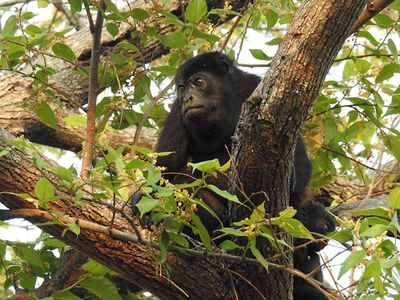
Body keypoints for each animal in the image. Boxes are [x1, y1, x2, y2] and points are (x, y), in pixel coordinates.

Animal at [133, 52, 332, 300]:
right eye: (181, 88)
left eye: (199, 82)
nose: (187, 97)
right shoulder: (177, 113)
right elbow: (166, 165)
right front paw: (143, 199)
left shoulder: (253, 89)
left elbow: (301, 164)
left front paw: (294, 183)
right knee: (186, 185)